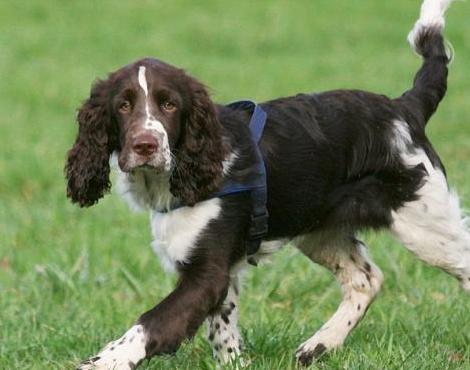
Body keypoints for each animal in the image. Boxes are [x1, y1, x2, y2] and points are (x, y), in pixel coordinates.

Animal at [67, 1, 470, 368]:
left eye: (169, 105)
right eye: (122, 106)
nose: (145, 146)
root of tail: (404, 109)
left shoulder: (206, 273)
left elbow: (151, 323)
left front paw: (103, 360)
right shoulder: (221, 271)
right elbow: (222, 330)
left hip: (425, 222)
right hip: (320, 230)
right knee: (365, 279)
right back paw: (317, 346)